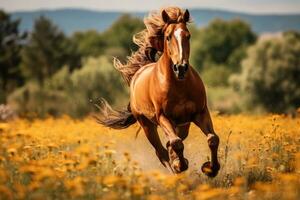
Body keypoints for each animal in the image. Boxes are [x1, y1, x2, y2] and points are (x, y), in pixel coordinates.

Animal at [98, 7, 220, 177]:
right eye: (168, 37)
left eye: (188, 36)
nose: (180, 67)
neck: (179, 86)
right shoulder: (163, 117)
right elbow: (176, 143)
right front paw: (180, 166)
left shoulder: (200, 113)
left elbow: (212, 139)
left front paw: (210, 168)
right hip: (147, 125)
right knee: (161, 151)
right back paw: (175, 168)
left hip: (183, 125)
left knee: (170, 144)